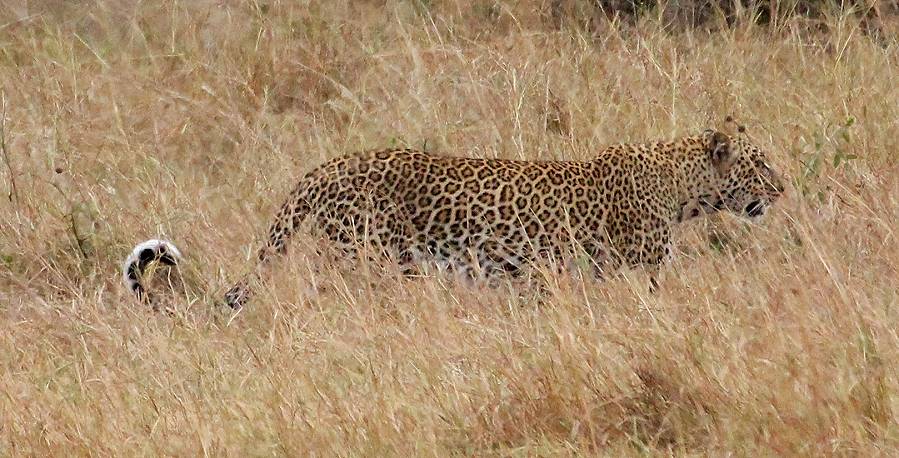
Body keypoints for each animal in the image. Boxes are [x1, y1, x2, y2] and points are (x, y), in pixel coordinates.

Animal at [123, 128, 784, 308]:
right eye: (759, 165)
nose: (782, 190)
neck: (682, 186)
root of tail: (324, 167)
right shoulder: (637, 271)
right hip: (372, 256)